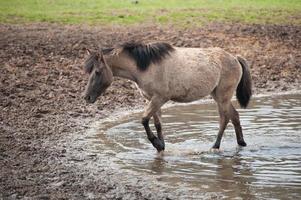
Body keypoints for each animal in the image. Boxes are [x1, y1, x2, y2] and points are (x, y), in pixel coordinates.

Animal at [82, 41, 251, 152]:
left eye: (97, 72)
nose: (87, 97)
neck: (146, 67)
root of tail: (235, 58)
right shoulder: (151, 99)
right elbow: (158, 124)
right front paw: (161, 146)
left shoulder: (159, 98)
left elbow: (144, 119)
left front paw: (156, 144)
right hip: (219, 96)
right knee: (234, 116)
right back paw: (241, 143)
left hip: (223, 97)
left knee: (224, 119)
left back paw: (215, 146)